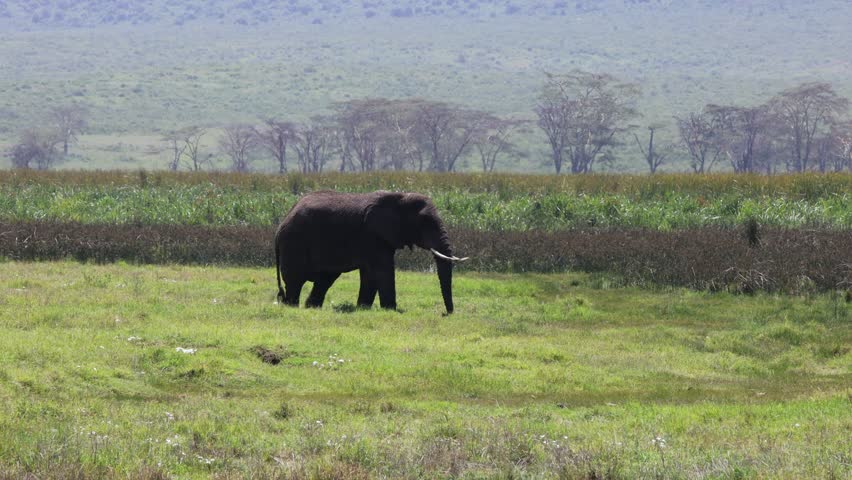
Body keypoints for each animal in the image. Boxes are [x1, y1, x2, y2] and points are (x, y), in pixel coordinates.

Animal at [274, 191, 468, 314]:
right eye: (425, 223)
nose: (447, 313)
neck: (400, 197)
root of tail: (281, 223)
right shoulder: (373, 236)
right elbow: (383, 270)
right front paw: (390, 310)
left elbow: (371, 274)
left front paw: (363, 308)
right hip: (294, 243)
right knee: (295, 280)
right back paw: (292, 307)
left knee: (325, 279)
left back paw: (311, 308)